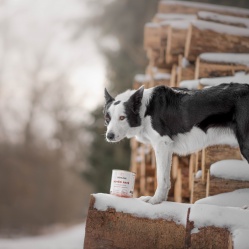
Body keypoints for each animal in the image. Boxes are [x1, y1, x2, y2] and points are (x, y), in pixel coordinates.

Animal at [103, 83, 249, 204]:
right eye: (107, 119)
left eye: (122, 117)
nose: (109, 136)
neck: (145, 110)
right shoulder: (167, 147)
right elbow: (166, 178)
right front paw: (161, 199)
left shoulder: (162, 144)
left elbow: (161, 177)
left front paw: (155, 200)